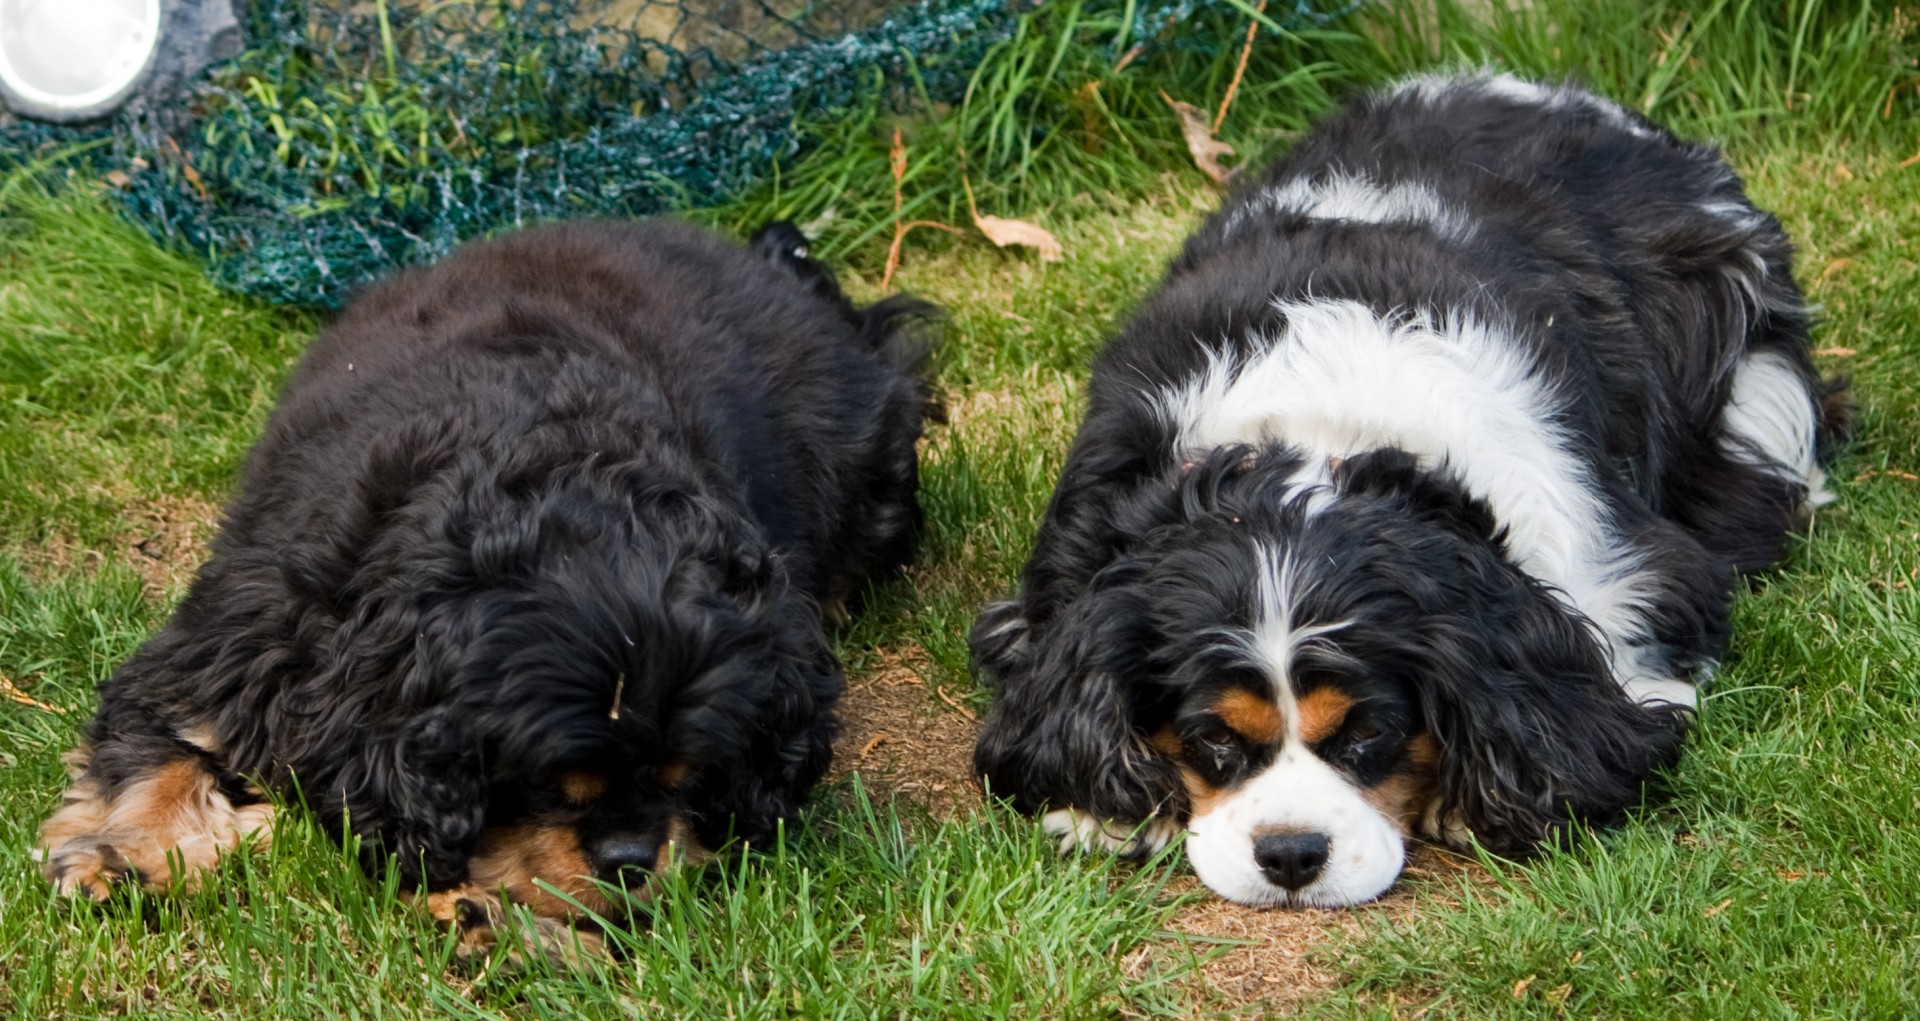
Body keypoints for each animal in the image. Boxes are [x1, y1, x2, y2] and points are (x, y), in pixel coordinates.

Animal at [37, 217, 936, 948]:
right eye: (542, 782)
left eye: (691, 773)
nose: (630, 858)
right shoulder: (238, 638)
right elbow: (163, 749)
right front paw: (124, 854)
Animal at [975, 75, 1843, 913]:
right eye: (1213, 736)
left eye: (1369, 730)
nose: (1291, 854)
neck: (1316, 437)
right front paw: (1099, 806)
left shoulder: (1637, 576)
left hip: (1753, 371)